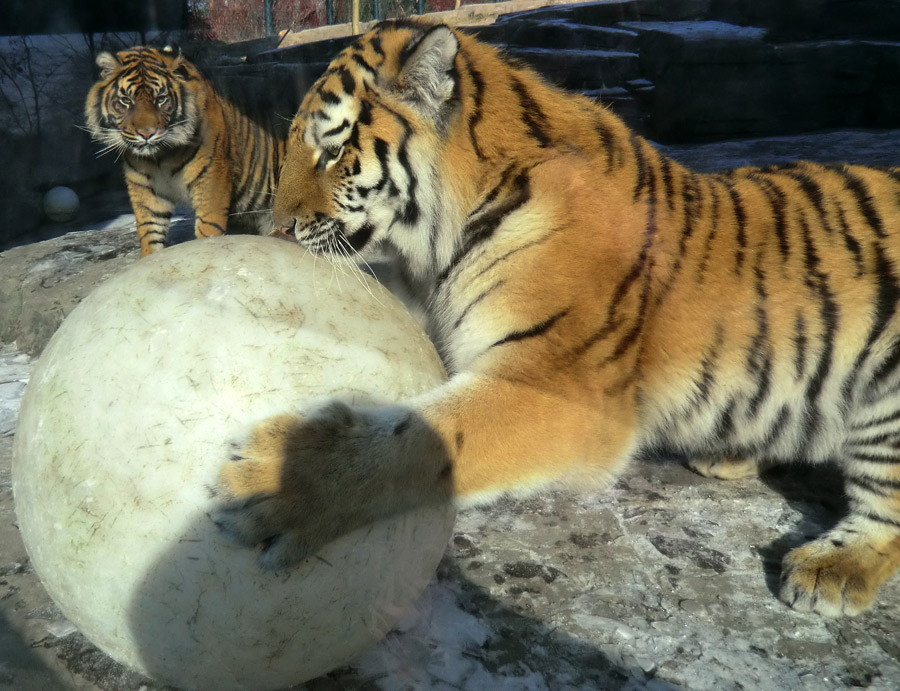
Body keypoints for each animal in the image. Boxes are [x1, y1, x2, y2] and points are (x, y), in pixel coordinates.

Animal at [85, 46, 296, 258]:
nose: (146, 133)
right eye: (126, 101)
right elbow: (149, 232)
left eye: (161, 100)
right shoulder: (146, 192)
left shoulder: (211, 182)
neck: (158, 157)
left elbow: (208, 228)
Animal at [213, 20, 900, 616]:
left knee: (884, 507)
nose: (275, 228)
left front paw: (277, 476)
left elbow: (415, 440)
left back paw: (830, 569)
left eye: (332, 152)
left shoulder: (556, 385)